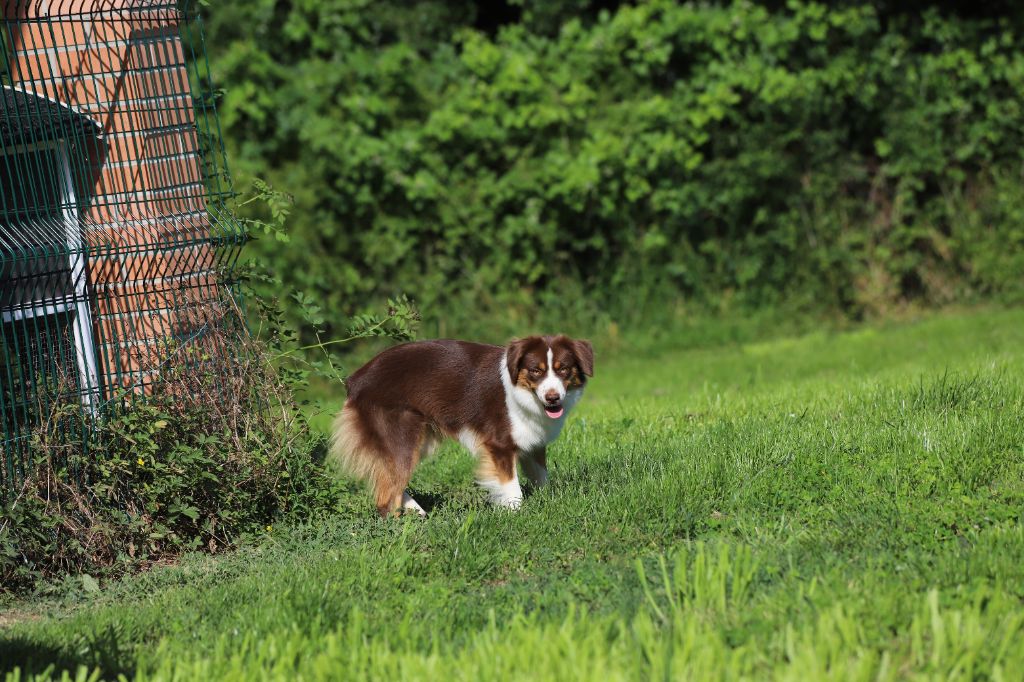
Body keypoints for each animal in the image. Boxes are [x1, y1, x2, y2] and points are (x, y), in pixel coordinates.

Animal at [331, 333, 598, 516]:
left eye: (564, 369)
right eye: (535, 371)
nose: (553, 398)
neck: (522, 392)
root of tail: (355, 379)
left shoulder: (533, 441)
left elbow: (541, 476)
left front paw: (548, 502)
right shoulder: (499, 444)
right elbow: (511, 487)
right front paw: (516, 514)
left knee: (391, 482)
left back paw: (417, 512)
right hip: (402, 436)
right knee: (386, 495)